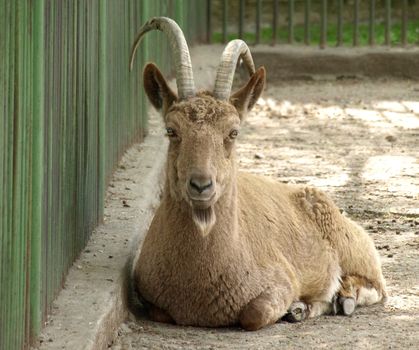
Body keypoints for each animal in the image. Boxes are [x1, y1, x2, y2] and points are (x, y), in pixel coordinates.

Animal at [129, 17, 388, 330]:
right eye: (171, 130)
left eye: (233, 131)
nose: (201, 185)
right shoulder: (152, 297)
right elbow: (160, 312)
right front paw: (297, 308)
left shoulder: (281, 281)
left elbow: (254, 314)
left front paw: (295, 305)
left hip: (352, 248)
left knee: (376, 286)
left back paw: (342, 298)